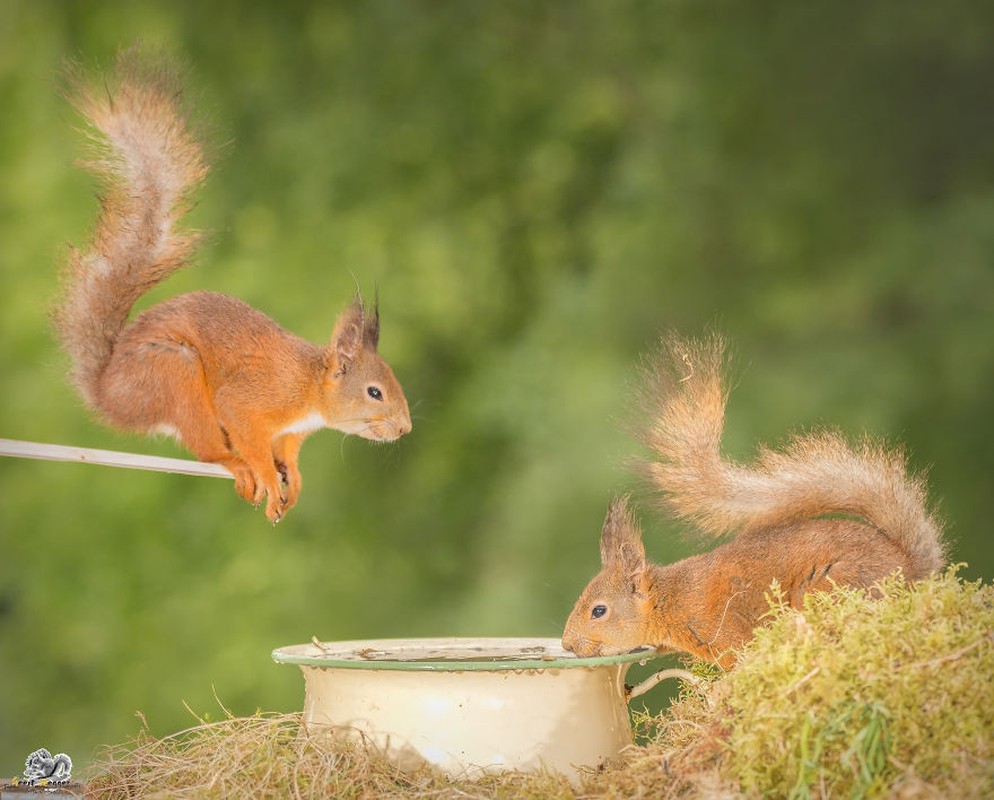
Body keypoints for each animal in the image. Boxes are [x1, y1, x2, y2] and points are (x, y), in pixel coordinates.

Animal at [53, 51, 410, 524]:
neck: (310, 390)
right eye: (374, 392)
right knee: (207, 448)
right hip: (174, 376)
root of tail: (109, 394)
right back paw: (235, 465)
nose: (405, 427)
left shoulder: (288, 433)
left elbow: (286, 452)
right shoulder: (251, 402)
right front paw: (266, 475)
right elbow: (252, 437)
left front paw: (292, 477)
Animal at [560, 332, 940, 668]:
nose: (567, 644)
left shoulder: (726, 632)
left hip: (831, 586)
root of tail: (909, 571)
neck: (671, 600)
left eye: (598, 611)